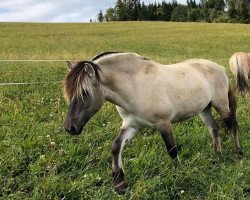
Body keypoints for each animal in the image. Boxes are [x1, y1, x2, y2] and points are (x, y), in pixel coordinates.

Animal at [62, 52, 242, 195]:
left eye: (85, 93)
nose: (70, 127)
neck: (135, 86)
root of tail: (219, 67)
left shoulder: (163, 123)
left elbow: (172, 150)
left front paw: (179, 174)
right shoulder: (132, 125)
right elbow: (116, 147)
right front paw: (120, 183)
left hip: (221, 105)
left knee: (232, 125)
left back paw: (238, 153)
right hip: (204, 109)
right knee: (214, 129)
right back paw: (217, 156)